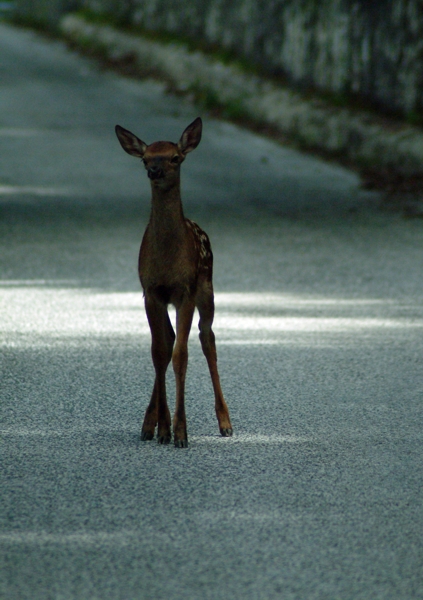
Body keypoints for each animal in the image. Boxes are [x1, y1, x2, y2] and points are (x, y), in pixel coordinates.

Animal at [116, 118, 234, 446]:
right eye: (145, 158)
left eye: (175, 157)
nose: (154, 171)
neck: (168, 259)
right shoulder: (150, 292)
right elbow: (159, 351)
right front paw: (160, 428)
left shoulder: (185, 291)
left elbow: (181, 355)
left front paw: (181, 432)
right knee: (169, 339)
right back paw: (153, 422)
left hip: (207, 289)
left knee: (207, 337)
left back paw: (225, 422)